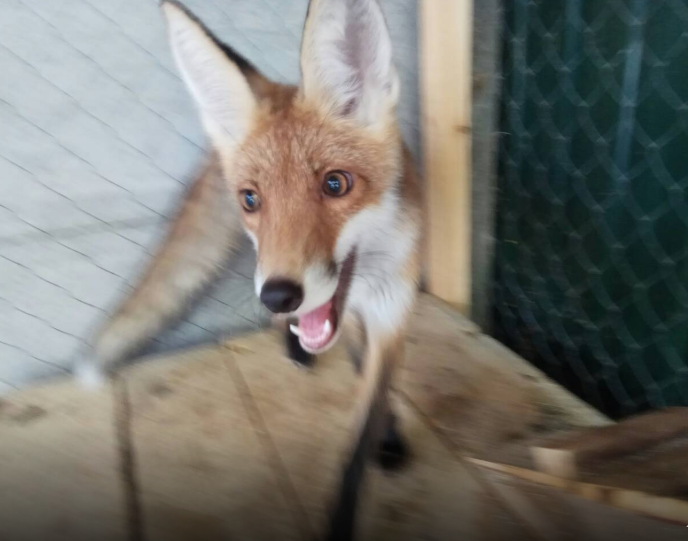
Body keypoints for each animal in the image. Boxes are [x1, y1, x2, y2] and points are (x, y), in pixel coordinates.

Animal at [78, 1, 422, 536]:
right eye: (251, 199)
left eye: (336, 184)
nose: (281, 294)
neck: (364, 289)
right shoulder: (330, 305)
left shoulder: (392, 311)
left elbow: (365, 422)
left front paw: (383, 440)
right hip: (262, 261)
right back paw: (293, 344)